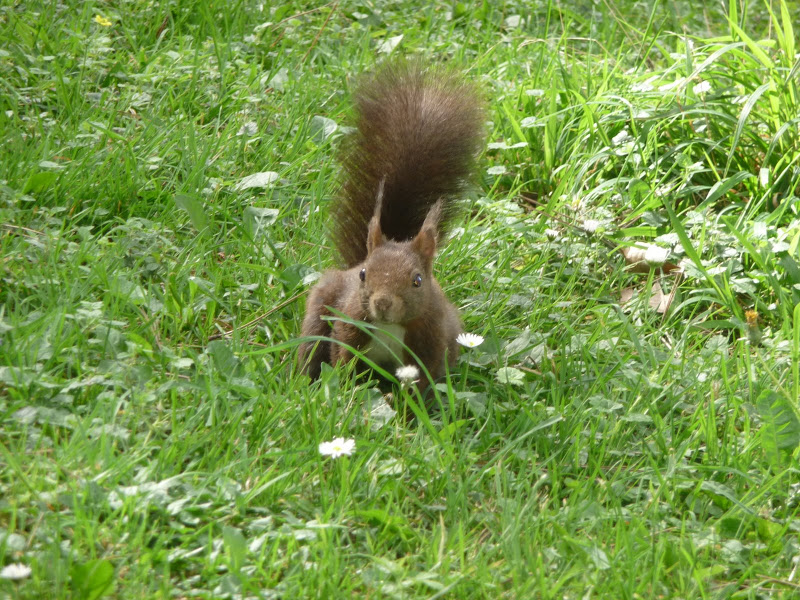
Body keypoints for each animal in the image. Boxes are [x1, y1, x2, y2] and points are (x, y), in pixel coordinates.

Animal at [298, 59, 484, 384]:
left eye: (417, 280)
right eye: (364, 274)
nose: (382, 303)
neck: (389, 326)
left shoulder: (431, 342)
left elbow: (424, 382)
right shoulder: (348, 329)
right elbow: (342, 362)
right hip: (320, 307)